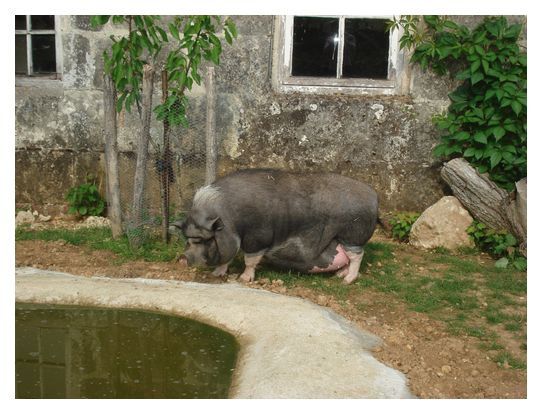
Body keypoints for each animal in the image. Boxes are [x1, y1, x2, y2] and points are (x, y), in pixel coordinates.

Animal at [172, 168, 380, 284]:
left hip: (352, 235)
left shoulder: (257, 238)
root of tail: (374, 197)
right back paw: (340, 275)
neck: (230, 219)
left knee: (357, 256)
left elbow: (250, 260)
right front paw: (217, 274)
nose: (182, 258)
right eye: (188, 239)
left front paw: (244, 279)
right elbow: (227, 259)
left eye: (205, 240)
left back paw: (347, 281)